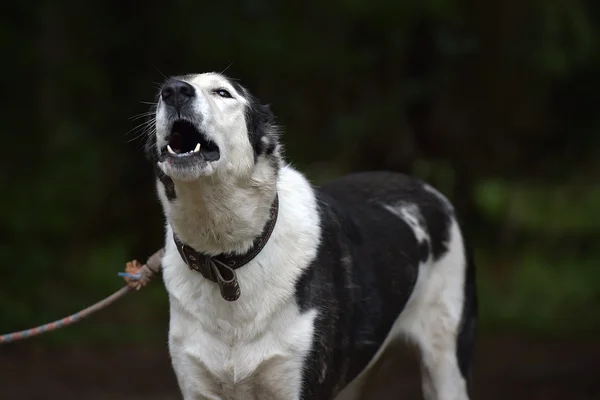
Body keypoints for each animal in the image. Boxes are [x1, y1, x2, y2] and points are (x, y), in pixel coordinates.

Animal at [144, 72, 478, 400]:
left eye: (223, 93)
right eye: (163, 91)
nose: (174, 91)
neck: (226, 259)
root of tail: (427, 187)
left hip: (446, 361)